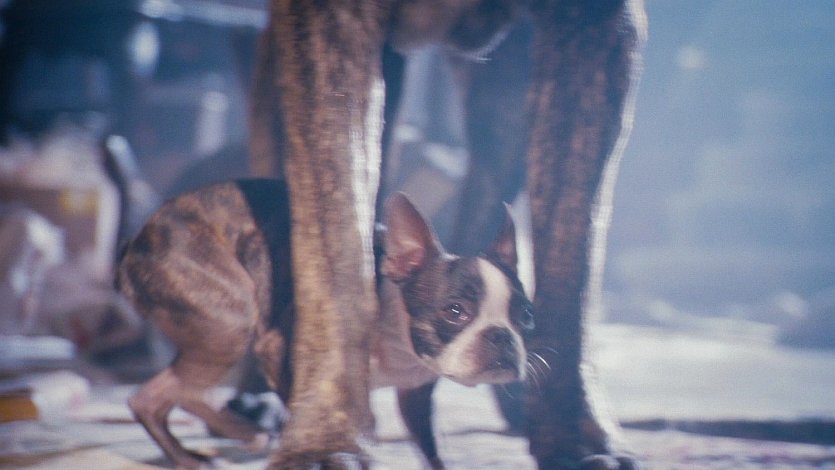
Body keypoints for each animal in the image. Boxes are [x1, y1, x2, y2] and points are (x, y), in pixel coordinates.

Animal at [117, 178, 532, 469]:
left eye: (526, 317)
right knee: (163, 392)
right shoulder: (280, 351)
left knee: (169, 391)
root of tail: (136, 244)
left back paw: (216, 444)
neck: (396, 334)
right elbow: (307, 415)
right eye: (455, 311)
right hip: (230, 323)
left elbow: (431, 451)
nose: (502, 337)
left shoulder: (416, 395)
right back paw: (216, 445)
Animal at [248, 1, 645, 468]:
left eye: (526, 315)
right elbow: (337, 254)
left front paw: (577, 439)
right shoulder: (328, 29)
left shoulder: (594, 27)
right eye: (454, 310)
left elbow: (571, 264)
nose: (501, 336)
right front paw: (326, 439)